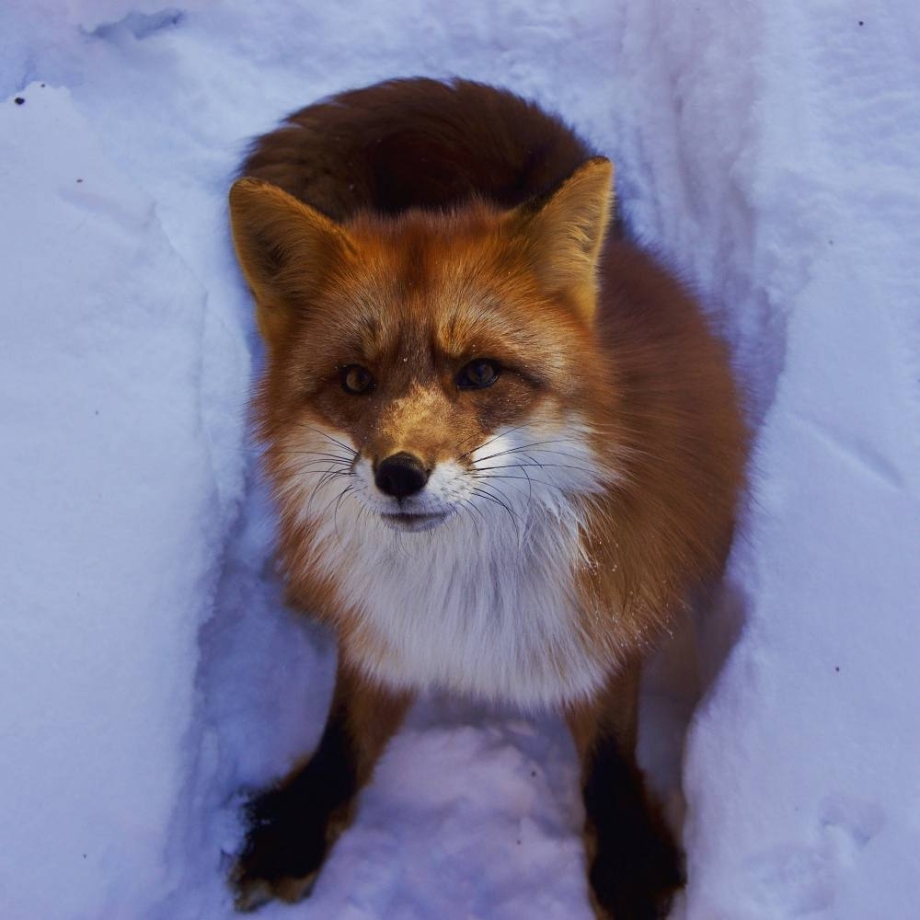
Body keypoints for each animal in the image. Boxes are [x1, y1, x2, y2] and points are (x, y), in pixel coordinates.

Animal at [227, 77, 748, 918]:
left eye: (478, 373)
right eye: (355, 380)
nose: (399, 473)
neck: (465, 590)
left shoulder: (606, 614)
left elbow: (610, 751)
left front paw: (629, 857)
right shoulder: (382, 631)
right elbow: (342, 733)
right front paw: (297, 827)